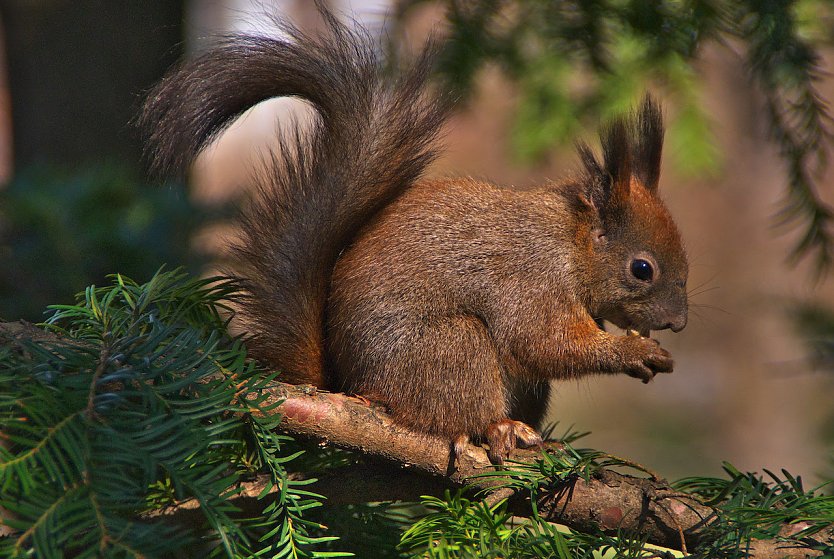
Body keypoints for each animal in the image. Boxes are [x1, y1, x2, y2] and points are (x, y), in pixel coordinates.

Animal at [141, 4, 688, 464]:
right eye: (642, 269)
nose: (678, 323)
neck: (570, 243)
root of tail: (353, 387)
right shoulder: (531, 278)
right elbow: (543, 342)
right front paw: (633, 353)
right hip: (448, 349)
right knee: (457, 408)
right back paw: (500, 427)